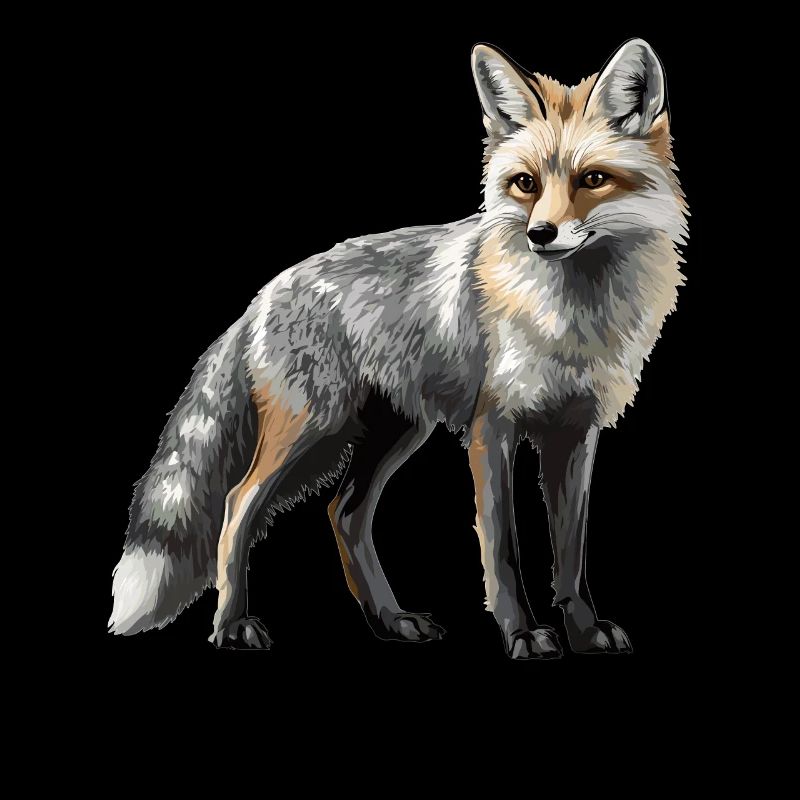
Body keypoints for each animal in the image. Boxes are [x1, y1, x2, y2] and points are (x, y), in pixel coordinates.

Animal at [109, 38, 687, 658]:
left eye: (593, 178)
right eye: (526, 184)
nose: (540, 234)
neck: (572, 318)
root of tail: (265, 293)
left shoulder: (575, 432)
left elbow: (571, 553)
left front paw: (583, 630)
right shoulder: (492, 427)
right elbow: (502, 551)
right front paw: (522, 633)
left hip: (397, 431)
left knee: (344, 514)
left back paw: (389, 621)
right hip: (310, 427)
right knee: (237, 506)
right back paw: (230, 625)